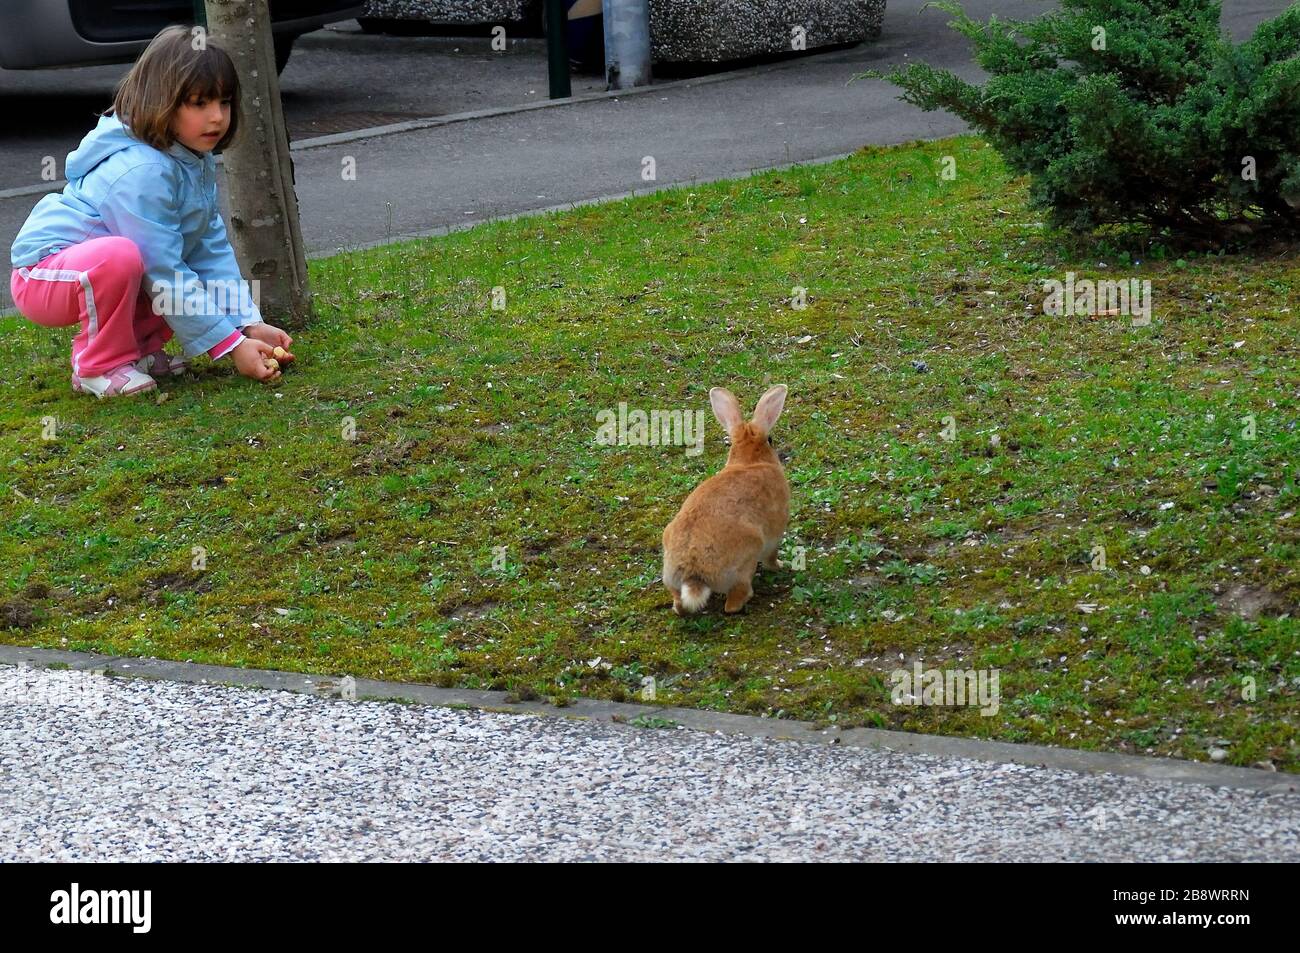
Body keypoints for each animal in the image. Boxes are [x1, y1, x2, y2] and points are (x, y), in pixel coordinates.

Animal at [665, 382, 785, 613]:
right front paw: (780, 566)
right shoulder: (775, 533)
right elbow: (771, 556)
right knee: (734, 601)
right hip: (746, 560)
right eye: (770, 439)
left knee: (679, 604)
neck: (749, 461)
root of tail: (694, 572)